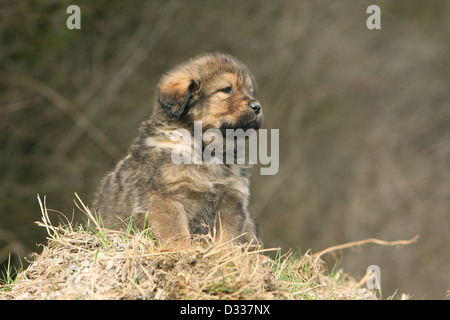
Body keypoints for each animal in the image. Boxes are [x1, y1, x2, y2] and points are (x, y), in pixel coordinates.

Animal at [95, 52, 264, 249]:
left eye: (249, 91)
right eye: (227, 89)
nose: (257, 107)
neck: (206, 149)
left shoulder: (231, 200)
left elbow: (228, 238)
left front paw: (226, 256)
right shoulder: (166, 197)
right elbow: (176, 232)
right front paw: (183, 252)